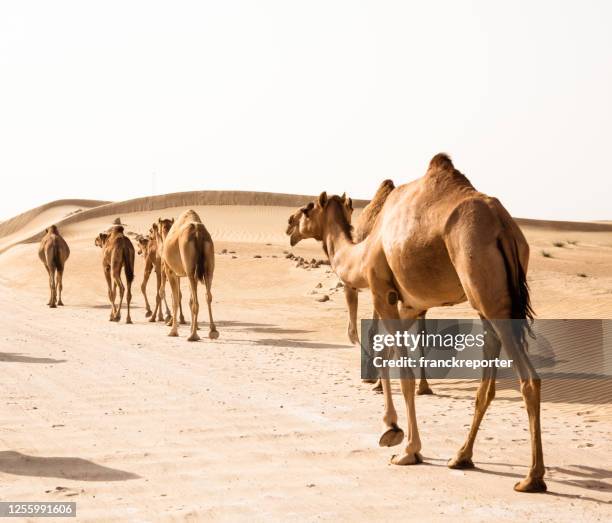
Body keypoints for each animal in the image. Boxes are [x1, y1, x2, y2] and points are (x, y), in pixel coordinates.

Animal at [158, 211, 218, 342]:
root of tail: (198, 233)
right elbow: (187, 300)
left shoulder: (170, 271)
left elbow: (175, 299)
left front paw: (173, 331)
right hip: (208, 268)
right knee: (208, 296)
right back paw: (213, 331)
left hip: (190, 269)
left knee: (196, 302)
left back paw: (193, 336)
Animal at [284, 154, 544, 494]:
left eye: (306, 208)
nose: (288, 225)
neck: (363, 251)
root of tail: (505, 228)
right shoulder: (410, 304)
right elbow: (385, 356)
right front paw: (389, 427)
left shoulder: (381, 291)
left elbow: (404, 372)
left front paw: (408, 449)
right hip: (493, 296)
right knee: (487, 384)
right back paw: (462, 456)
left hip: (485, 285)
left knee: (529, 379)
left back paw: (532, 477)